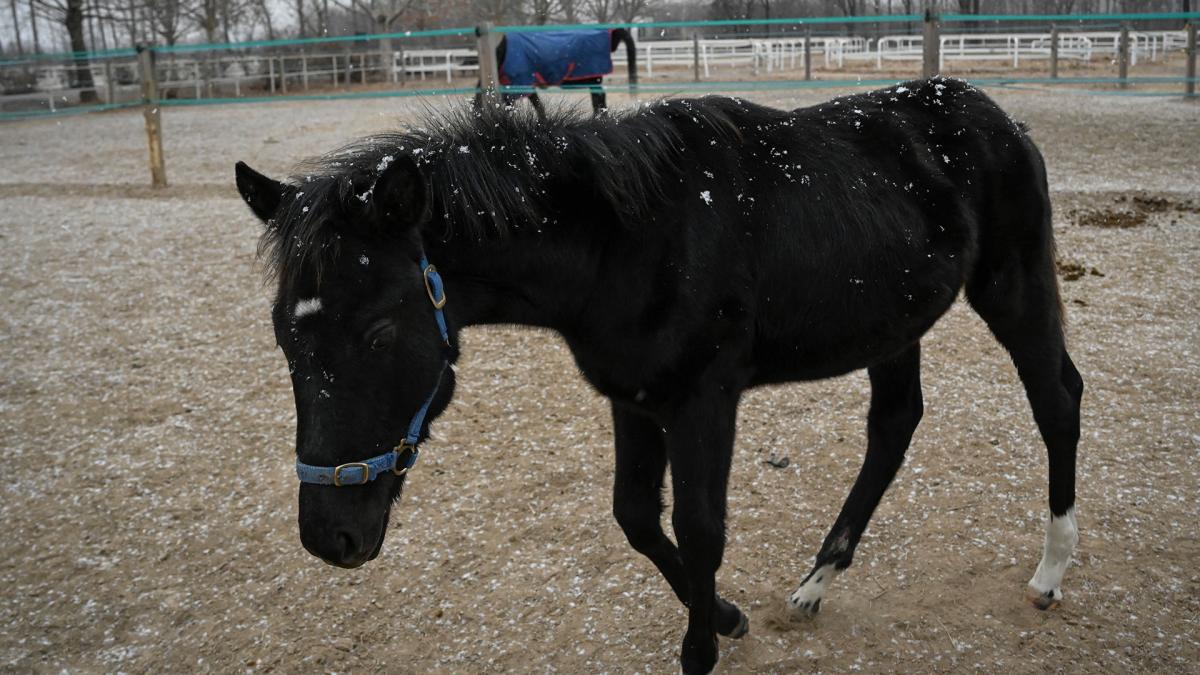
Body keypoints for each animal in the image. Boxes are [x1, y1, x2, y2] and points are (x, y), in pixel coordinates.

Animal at [234, 77, 1082, 674]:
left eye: (378, 329)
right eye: (283, 334)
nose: (330, 536)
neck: (626, 241)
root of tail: (1000, 118)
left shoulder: (704, 399)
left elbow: (701, 528)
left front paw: (701, 649)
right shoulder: (635, 398)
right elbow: (637, 516)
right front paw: (730, 618)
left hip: (1011, 286)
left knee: (1057, 397)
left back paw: (1050, 571)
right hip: (893, 322)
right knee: (894, 426)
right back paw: (816, 581)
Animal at [473, 28, 637, 119]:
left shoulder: (521, 84)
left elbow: (528, 107)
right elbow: (538, 106)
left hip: (591, 78)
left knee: (599, 97)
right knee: (598, 98)